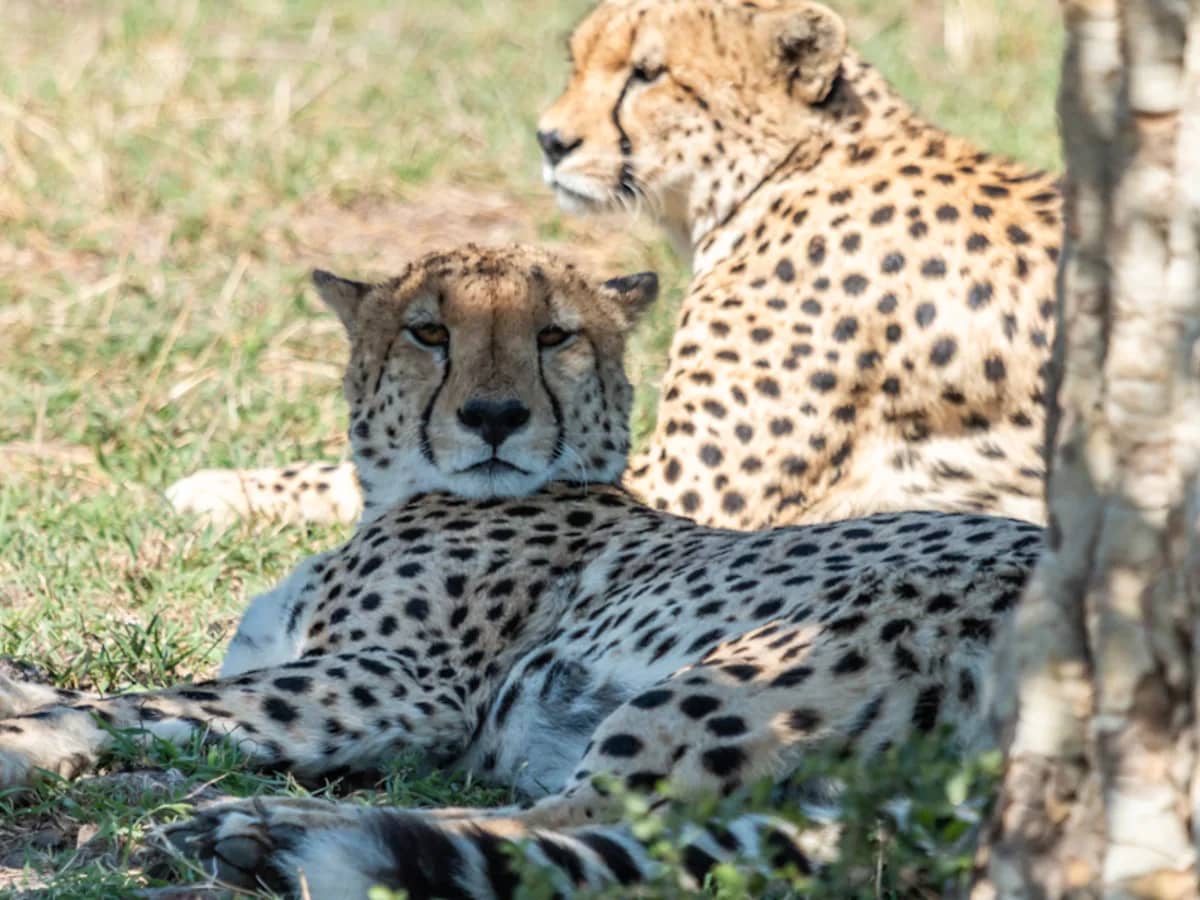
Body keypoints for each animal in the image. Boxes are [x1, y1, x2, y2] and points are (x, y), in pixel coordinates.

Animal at [0, 245, 1044, 897]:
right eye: (429, 333)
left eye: (556, 336)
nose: (495, 416)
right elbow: (141, 699)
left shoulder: (403, 685)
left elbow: (134, 700)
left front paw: (29, 739)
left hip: (743, 669)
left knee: (590, 826)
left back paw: (262, 830)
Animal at [167, 0, 1062, 533]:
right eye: (580, 59)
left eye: (648, 73)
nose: (551, 139)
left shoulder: (683, 489)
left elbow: (397, 468)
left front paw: (221, 487)